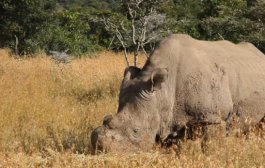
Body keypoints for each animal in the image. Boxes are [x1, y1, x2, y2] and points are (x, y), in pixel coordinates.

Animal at [91, 34, 264, 154]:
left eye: (136, 131)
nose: (99, 148)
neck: (163, 91)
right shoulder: (170, 116)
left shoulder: (213, 117)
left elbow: (210, 146)